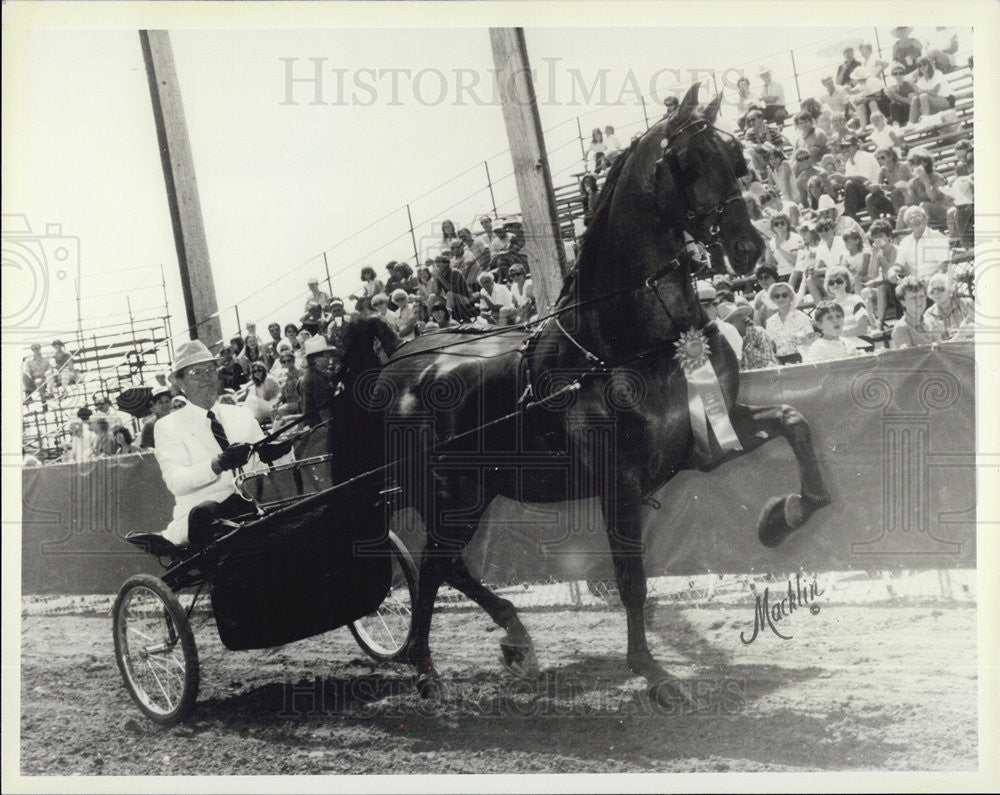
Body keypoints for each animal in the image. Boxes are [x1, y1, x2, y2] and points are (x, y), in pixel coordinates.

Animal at [332, 85, 832, 708]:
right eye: (689, 164)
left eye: (737, 157)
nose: (747, 248)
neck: (626, 342)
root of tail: (399, 361)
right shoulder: (620, 481)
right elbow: (631, 579)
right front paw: (653, 672)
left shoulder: (711, 435)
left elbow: (795, 422)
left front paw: (781, 518)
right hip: (447, 495)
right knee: (431, 569)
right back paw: (427, 671)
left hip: (472, 493)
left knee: (447, 567)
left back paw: (512, 637)